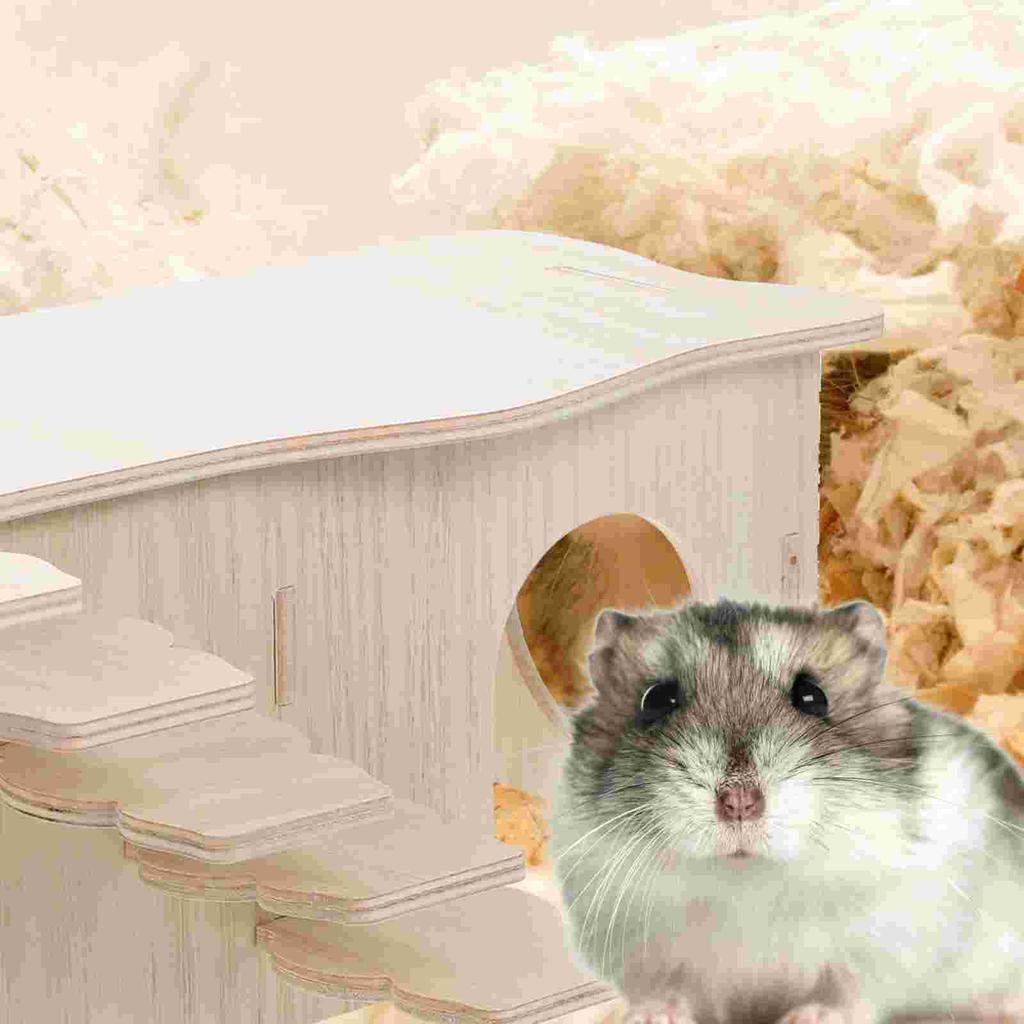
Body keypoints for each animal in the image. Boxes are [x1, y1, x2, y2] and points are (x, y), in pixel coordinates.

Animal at [549, 598, 1024, 1024]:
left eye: (813, 696)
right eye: (655, 700)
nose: (739, 802)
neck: (746, 882)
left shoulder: (885, 945)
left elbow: (848, 992)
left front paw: (809, 1018)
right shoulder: (643, 950)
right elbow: (670, 990)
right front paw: (650, 1016)